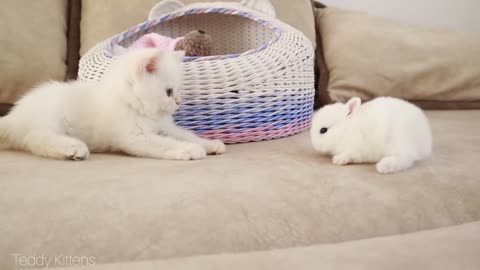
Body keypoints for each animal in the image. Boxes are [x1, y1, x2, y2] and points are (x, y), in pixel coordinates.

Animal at [0, 48, 225, 160]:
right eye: (169, 92)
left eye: (178, 91)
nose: (179, 102)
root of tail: (13, 116)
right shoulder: (135, 137)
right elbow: (165, 143)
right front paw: (189, 150)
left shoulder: (165, 127)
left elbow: (185, 134)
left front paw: (209, 144)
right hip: (50, 118)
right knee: (36, 139)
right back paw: (73, 148)